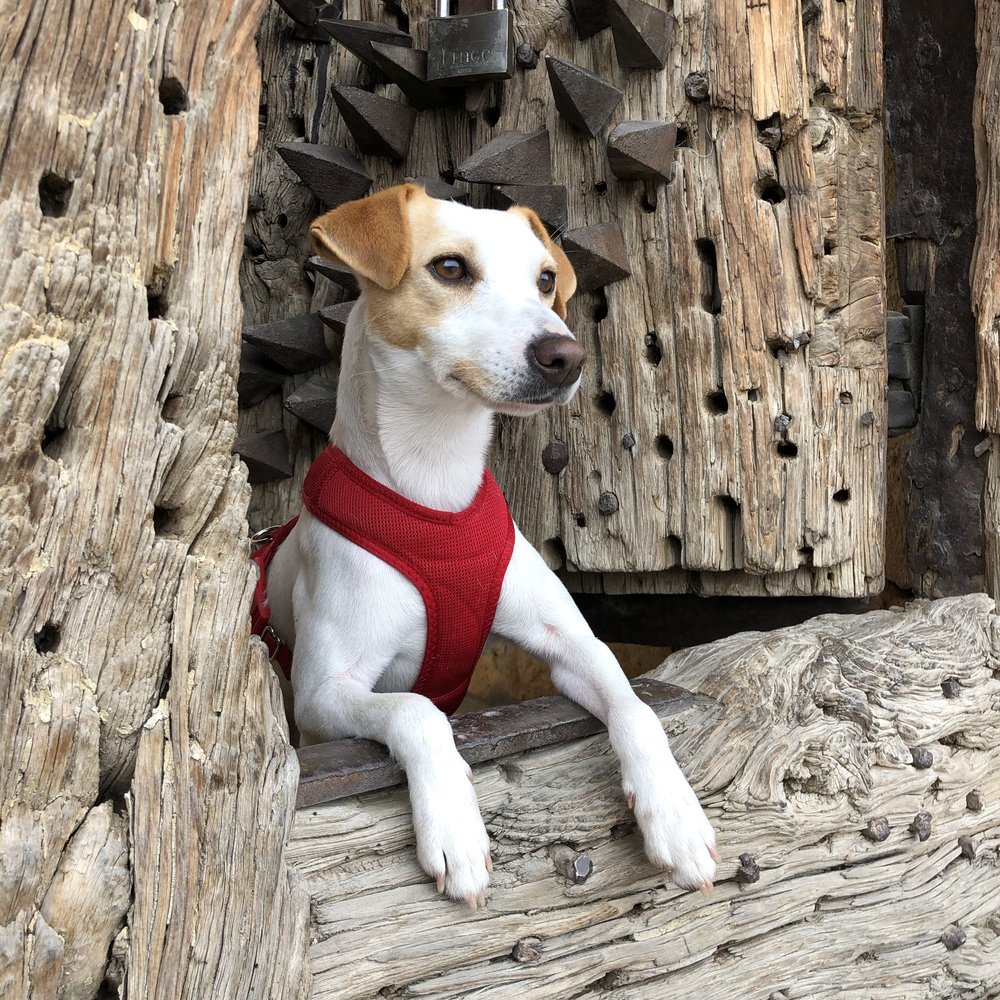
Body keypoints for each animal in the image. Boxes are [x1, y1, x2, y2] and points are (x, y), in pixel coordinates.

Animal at [254, 182, 716, 908]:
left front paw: (675, 814)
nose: (566, 355)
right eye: (449, 268)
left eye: (546, 279)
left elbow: (635, 704)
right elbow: (417, 710)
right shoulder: (323, 695)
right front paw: (454, 826)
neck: (435, 490)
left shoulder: (571, 644)